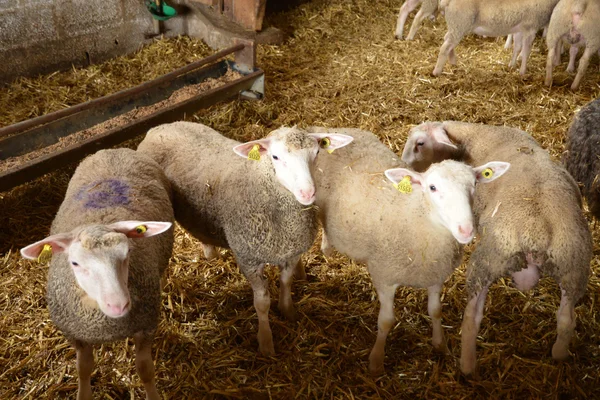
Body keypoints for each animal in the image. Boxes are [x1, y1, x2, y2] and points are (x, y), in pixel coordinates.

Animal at [19, 149, 173, 400]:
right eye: (75, 262)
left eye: (128, 253)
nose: (118, 305)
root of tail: (115, 150)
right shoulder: (75, 334)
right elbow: (83, 369)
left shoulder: (146, 326)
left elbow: (145, 371)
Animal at [137, 122, 352, 356]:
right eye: (275, 157)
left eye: (317, 153)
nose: (307, 193)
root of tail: (159, 127)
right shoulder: (248, 258)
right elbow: (262, 302)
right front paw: (265, 342)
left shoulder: (292, 251)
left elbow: (286, 282)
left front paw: (288, 311)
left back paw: (211, 254)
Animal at [308, 127, 508, 376]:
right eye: (432, 187)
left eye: (474, 185)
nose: (466, 229)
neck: (417, 214)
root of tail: (337, 130)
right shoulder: (384, 276)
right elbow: (386, 321)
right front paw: (376, 361)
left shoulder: (435, 275)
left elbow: (435, 311)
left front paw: (440, 345)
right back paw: (326, 249)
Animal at [400, 121, 592, 376]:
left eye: (419, 143)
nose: (402, 166)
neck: (473, 136)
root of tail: (537, 231)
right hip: (573, 266)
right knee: (566, 320)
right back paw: (559, 355)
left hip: (488, 260)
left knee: (472, 318)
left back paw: (467, 367)